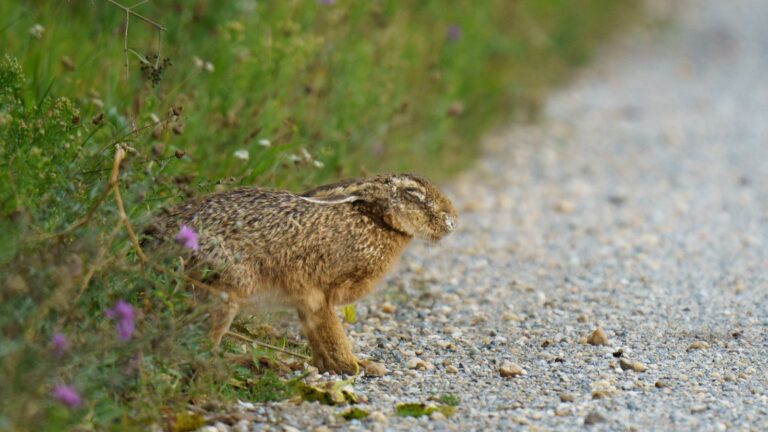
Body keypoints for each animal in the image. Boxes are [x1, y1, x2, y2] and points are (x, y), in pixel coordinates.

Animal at [147, 173, 457, 374]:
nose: (452, 219)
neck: (375, 220)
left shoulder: (305, 299)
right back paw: (263, 365)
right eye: (413, 194)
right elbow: (331, 331)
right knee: (199, 349)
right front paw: (355, 366)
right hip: (225, 290)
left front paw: (330, 366)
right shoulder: (317, 292)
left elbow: (317, 335)